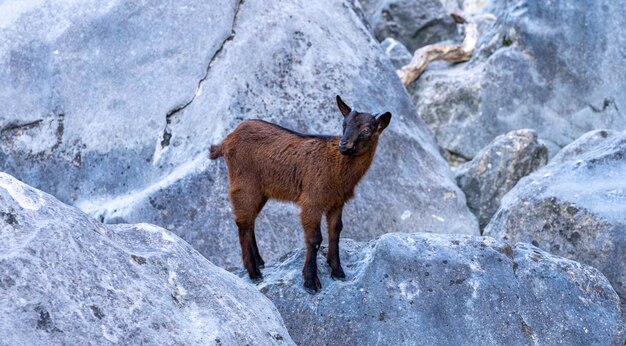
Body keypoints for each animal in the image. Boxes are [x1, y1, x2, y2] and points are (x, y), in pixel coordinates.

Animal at [208, 96, 390, 294]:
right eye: (344, 124)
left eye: (367, 130)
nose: (343, 145)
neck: (337, 167)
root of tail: (226, 140)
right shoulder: (312, 200)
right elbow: (315, 239)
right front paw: (310, 282)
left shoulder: (336, 202)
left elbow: (336, 230)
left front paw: (337, 271)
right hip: (244, 183)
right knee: (243, 222)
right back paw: (254, 272)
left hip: (261, 190)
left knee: (250, 221)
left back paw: (260, 262)